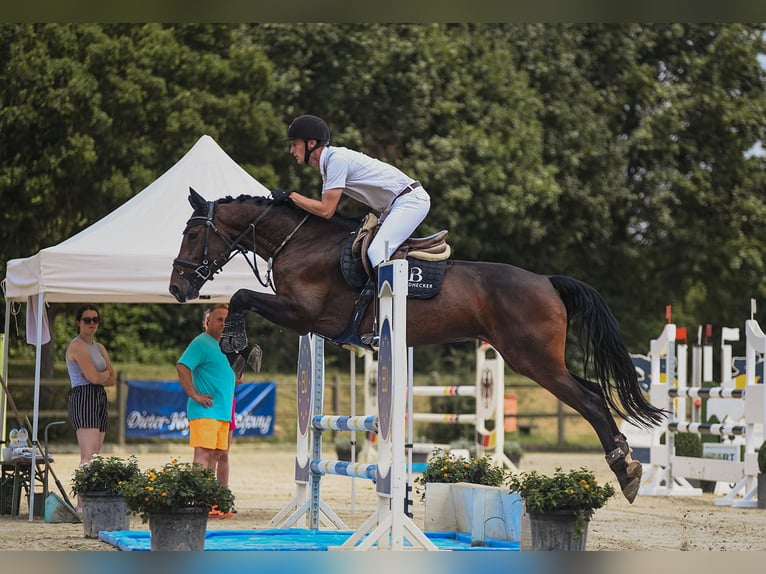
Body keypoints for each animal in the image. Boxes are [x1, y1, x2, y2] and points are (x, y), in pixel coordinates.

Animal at [171, 190, 668, 504]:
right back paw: (626, 465)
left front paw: (235, 343)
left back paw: (626, 472)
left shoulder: (305, 315)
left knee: (590, 399)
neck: (303, 243)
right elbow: (244, 299)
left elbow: (241, 296)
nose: (178, 287)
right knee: (594, 391)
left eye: (193, 235)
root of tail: (547, 281)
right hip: (538, 358)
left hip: (533, 360)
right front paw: (240, 351)